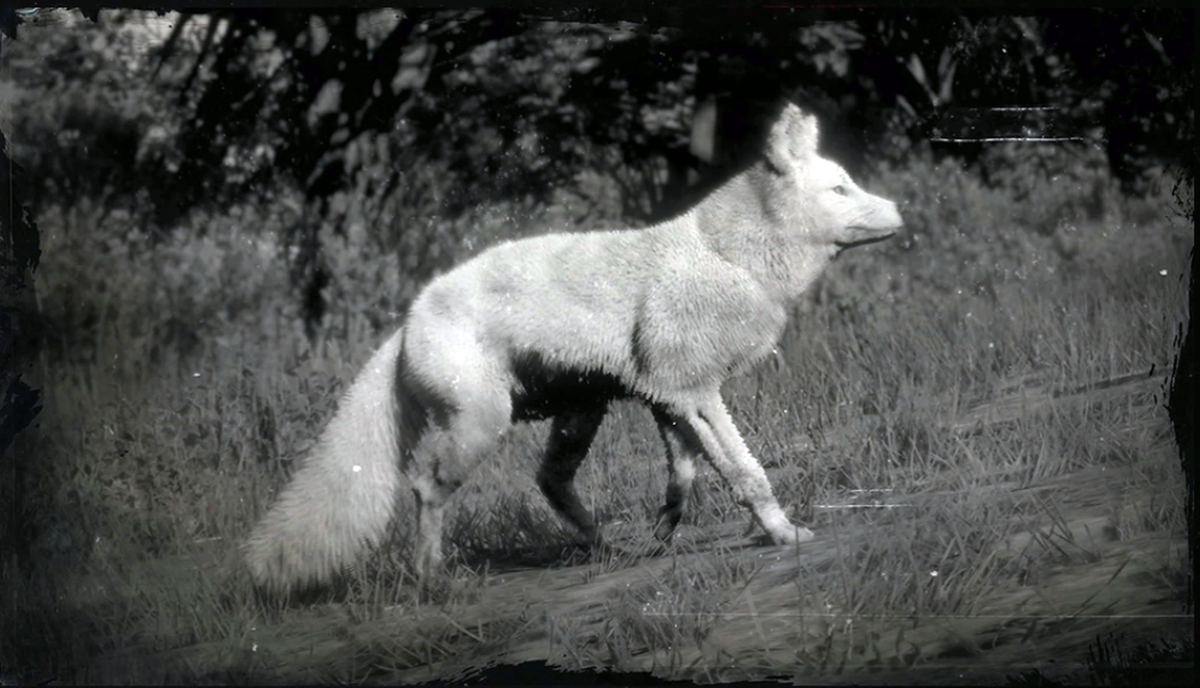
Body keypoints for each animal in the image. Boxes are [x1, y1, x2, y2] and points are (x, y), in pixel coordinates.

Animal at [243, 100, 902, 590]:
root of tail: (405, 324)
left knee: (549, 483)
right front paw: (782, 535)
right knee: (428, 487)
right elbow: (747, 471)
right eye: (841, 190)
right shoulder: (695, 393)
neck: (731, 259)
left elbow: (684, 478)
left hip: (580, 412)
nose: (900, 210)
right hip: (484, 425)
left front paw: (663, 533)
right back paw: (434, 579)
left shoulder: (668, 399)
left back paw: (606, 547)